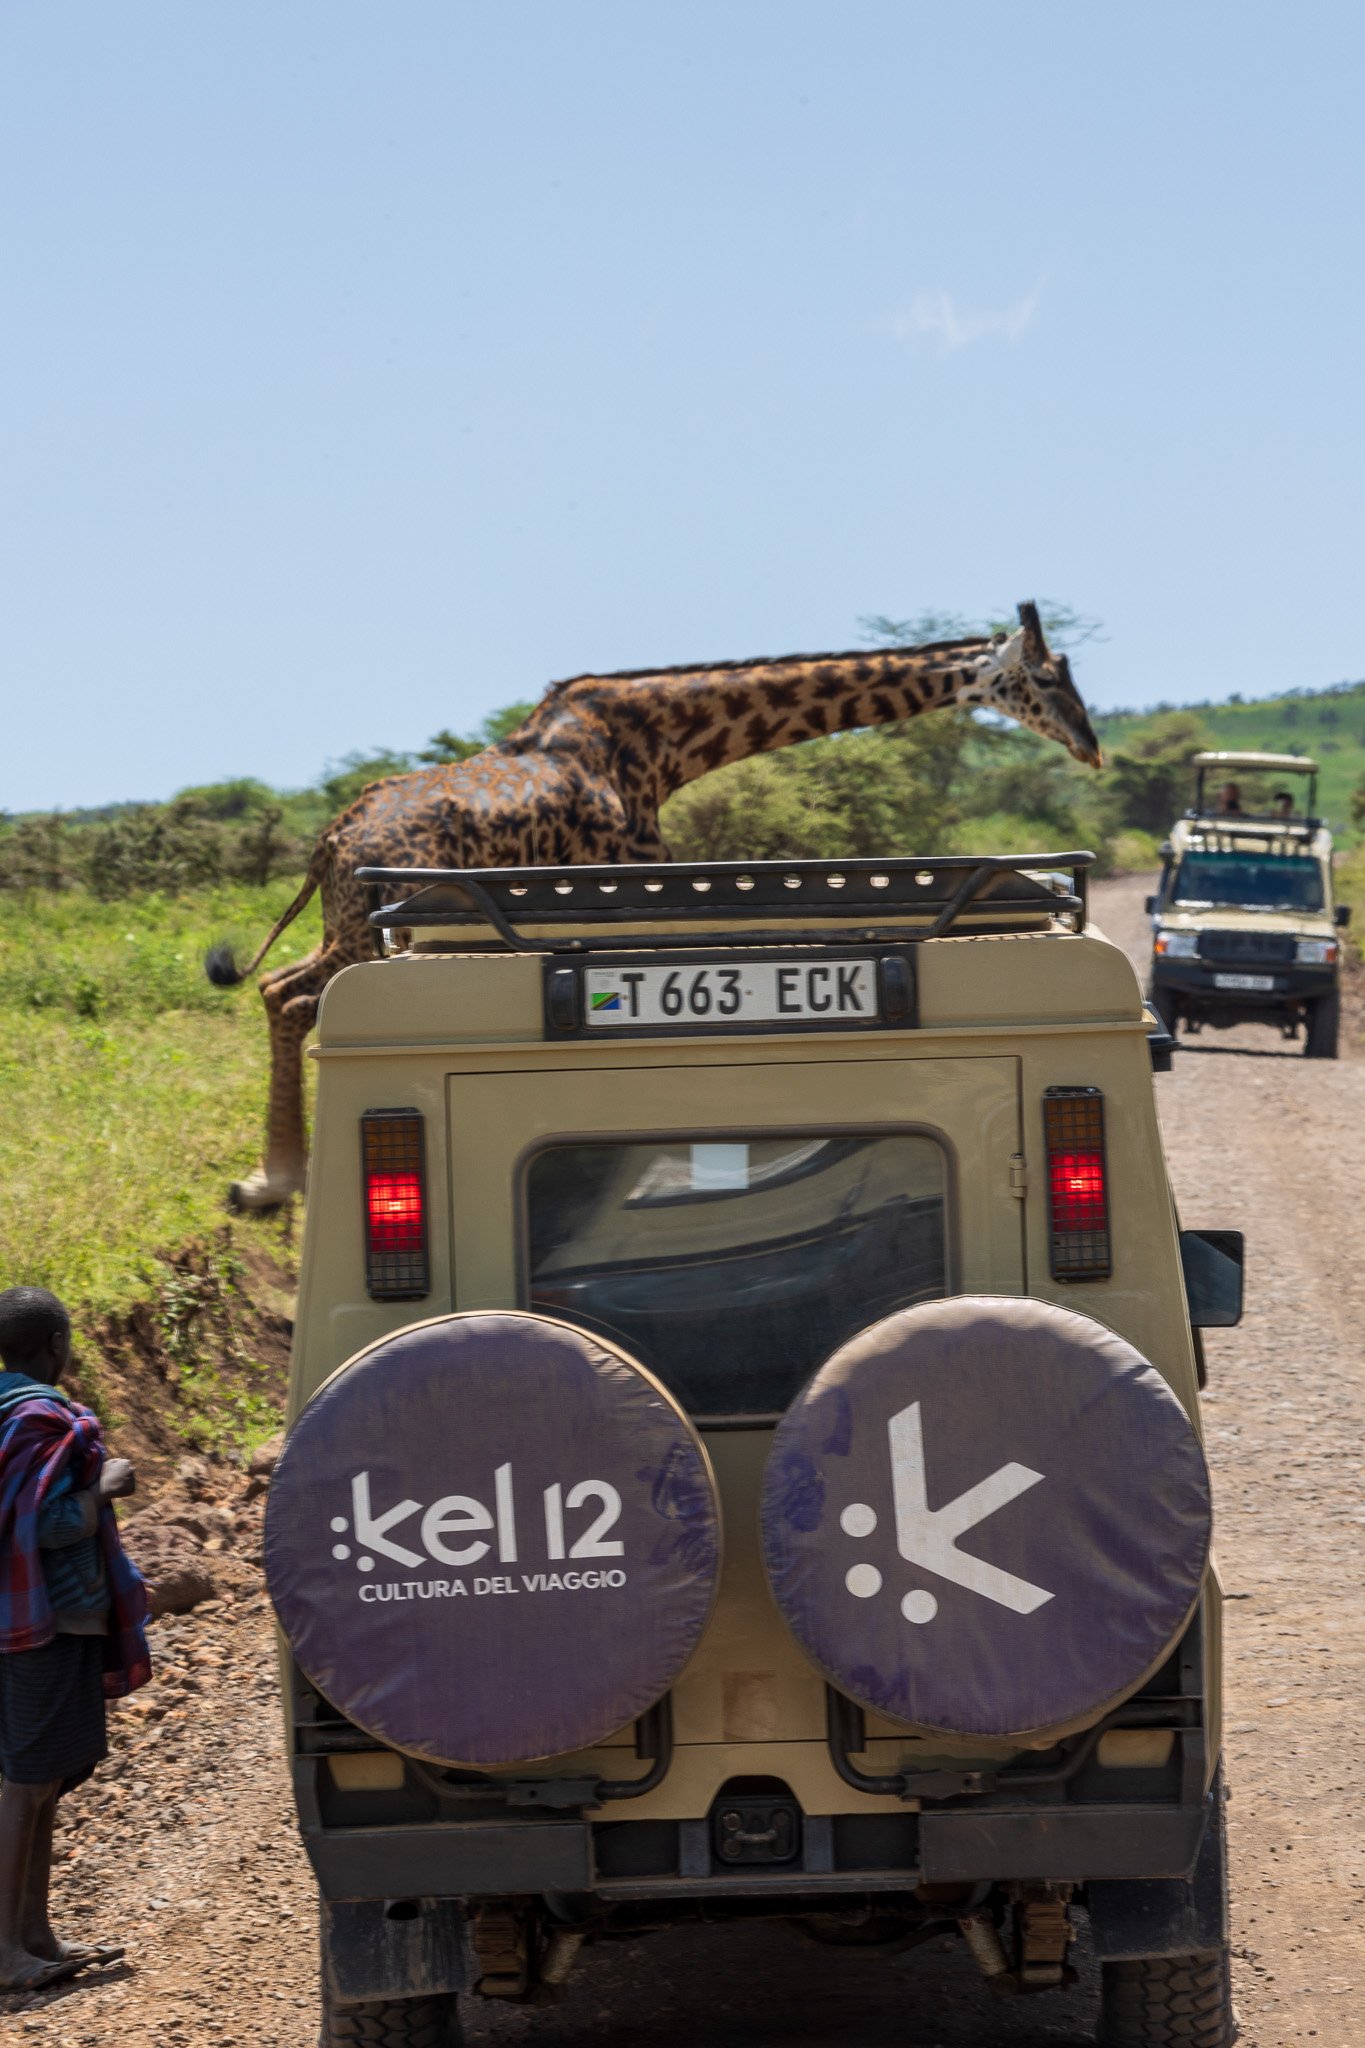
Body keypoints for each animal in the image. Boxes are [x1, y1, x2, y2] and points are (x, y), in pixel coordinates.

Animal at [210, 606, 1096, 1212]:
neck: (664, 744)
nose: (1089, 746)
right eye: (1046, 679)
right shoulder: (632, 875)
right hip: (371, 933)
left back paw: (269, 1181)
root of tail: (332, 838)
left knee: (279, 989)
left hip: (343, 923)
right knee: (292, 994)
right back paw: (278, 1178)